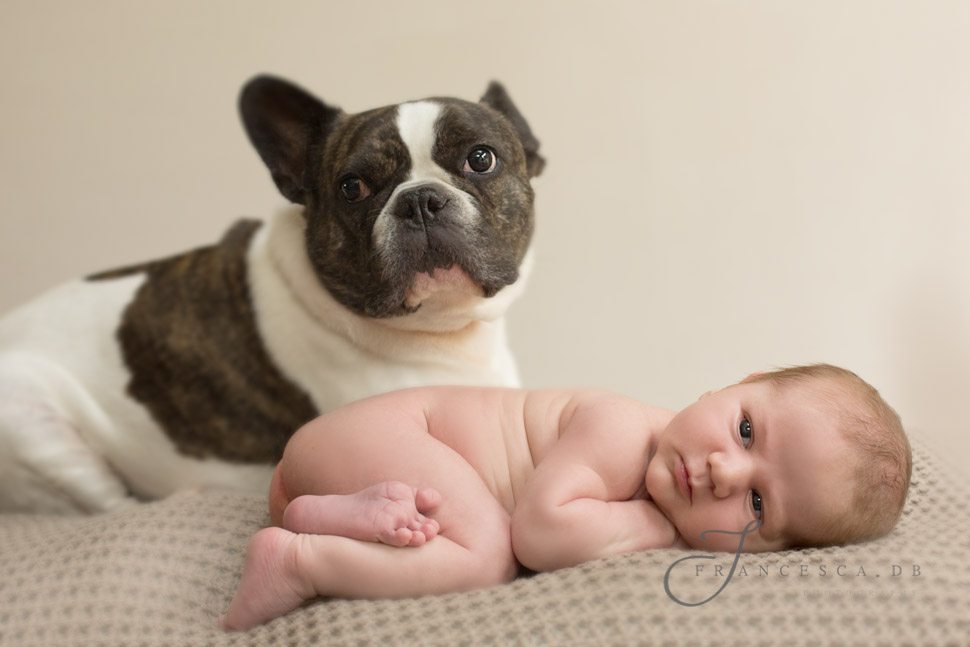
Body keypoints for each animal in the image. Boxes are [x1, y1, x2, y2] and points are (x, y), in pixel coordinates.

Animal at [0, 76, 544, 512]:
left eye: (481, 159)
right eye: (352, 187)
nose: (419, 200)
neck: (446, 332)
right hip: (37, 434)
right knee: (113, 508)